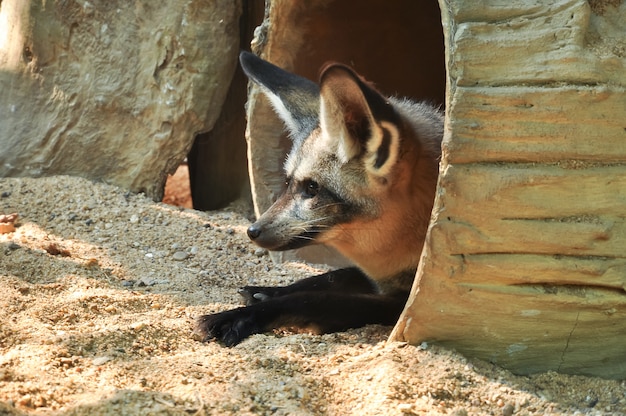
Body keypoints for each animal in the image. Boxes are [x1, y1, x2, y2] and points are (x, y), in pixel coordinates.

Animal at [197, 51, 442, 344]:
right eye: (288, 183)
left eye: (312, 188)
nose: (252, 231)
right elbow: (331, 277)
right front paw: (269, 290)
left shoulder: (402, 303)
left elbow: (316, 299)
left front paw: (242, 315)